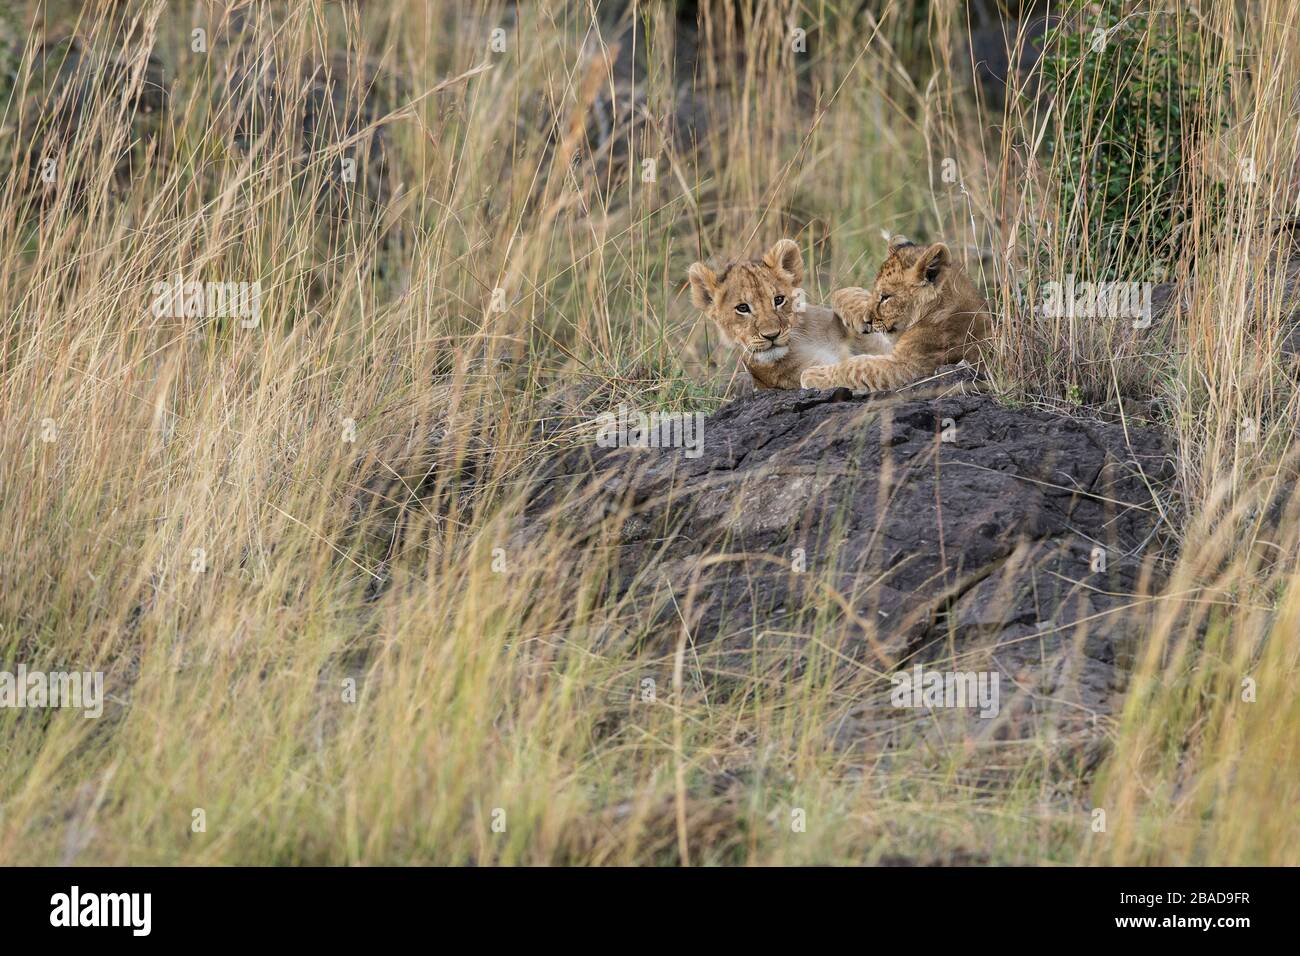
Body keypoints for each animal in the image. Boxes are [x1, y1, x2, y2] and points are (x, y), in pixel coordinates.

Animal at [688, 239, 890, 390]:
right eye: (742, 308)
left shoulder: (879, 344)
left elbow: (839, 293)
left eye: (778, 300)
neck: (802, 340)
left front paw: (861, 314)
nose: (771, 335)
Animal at [799, 236, 992, 391]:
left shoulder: (908, 368)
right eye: (877, 294)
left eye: (886, 297)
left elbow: (856, 367)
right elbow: (843, 293)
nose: (868, 321)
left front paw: (812, 374)